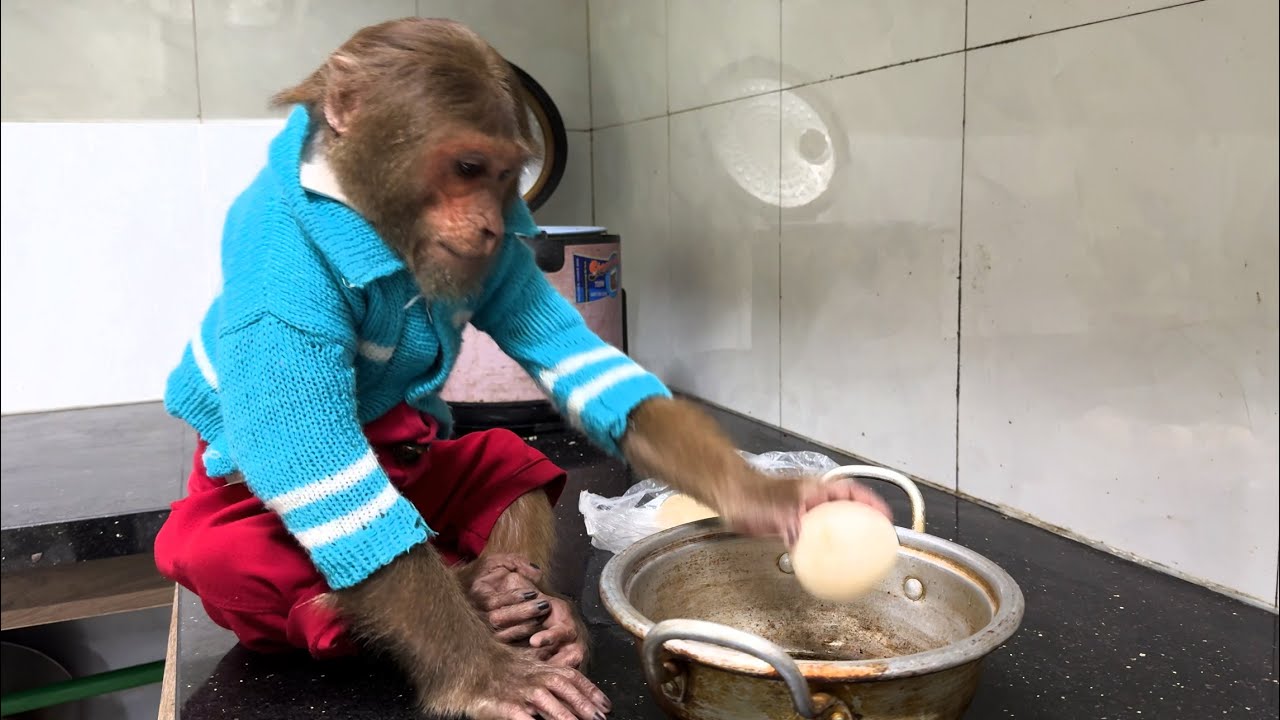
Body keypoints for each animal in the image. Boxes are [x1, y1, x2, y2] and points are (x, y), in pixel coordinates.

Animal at [152, 17, 889, 720]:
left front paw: (771, 500)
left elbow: (583, 365)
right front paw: (483, 678)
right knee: (249, 548)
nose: (487, 220)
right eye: (467, 166)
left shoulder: (505, 254)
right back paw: (373, 606)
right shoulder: (280, 276)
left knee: (513, 462)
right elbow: (318, 471)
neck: (375, 226)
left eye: (505, 177)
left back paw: (525, 602)